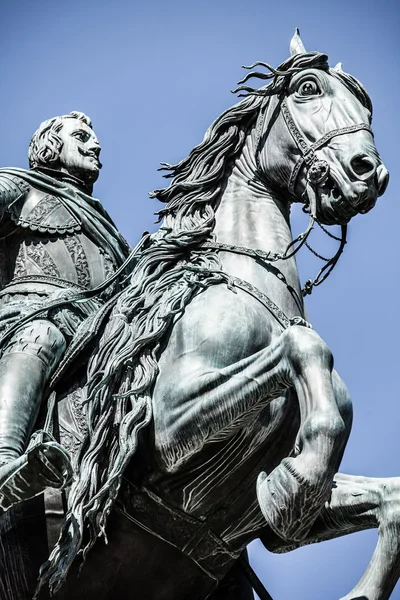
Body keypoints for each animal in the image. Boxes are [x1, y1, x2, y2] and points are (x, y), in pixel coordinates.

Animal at [1, 31, 398, 600]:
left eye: (366, 105)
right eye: (307, 88)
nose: (369, 173)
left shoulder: (255, 526)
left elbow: (390, 499)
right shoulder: (167, 426)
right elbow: (305, 348)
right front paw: (295, 483)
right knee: (35, 338)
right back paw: (23, 470)